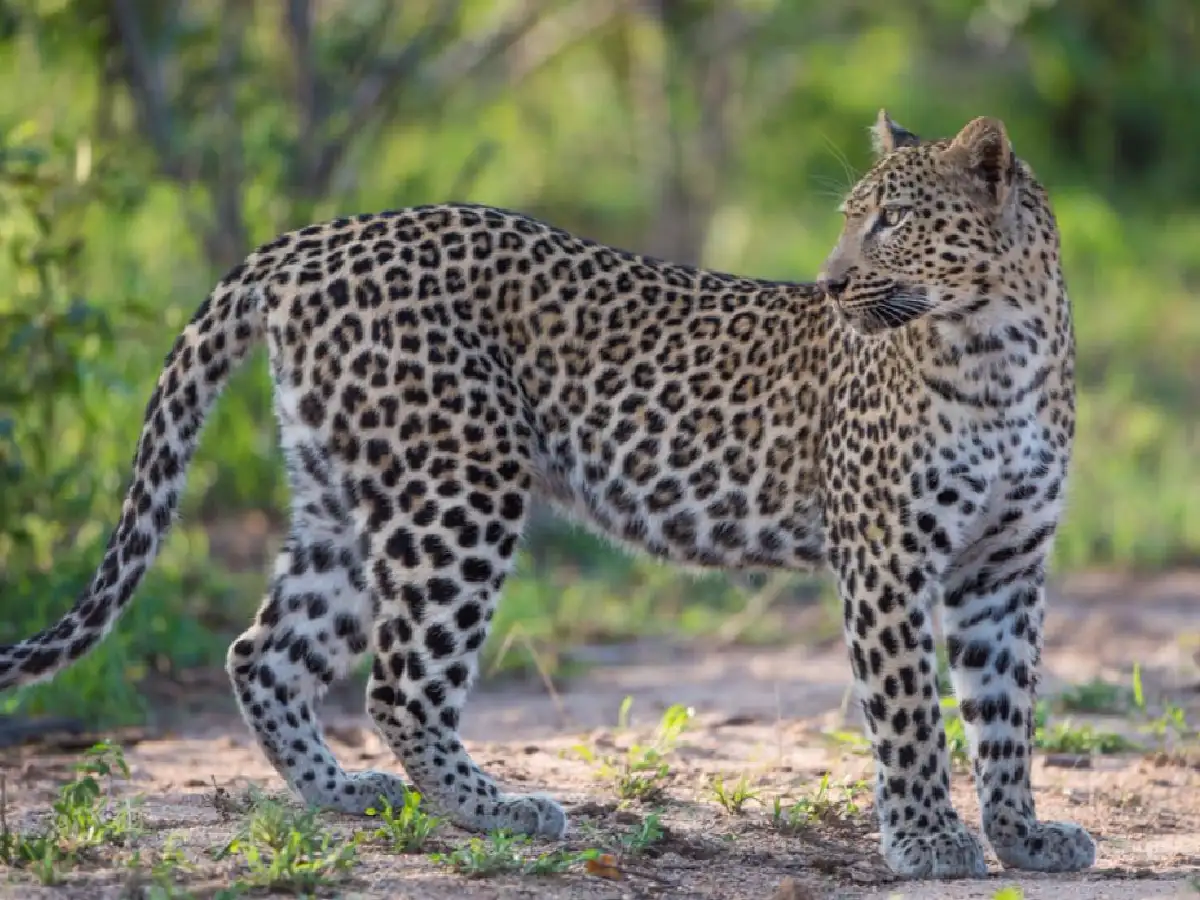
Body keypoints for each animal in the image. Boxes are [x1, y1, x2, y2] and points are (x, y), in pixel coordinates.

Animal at [0, 111, 1093, 879]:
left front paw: (1023, 837)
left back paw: (340, 795)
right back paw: (498, 810)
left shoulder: (1005, 565)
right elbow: (909, 708)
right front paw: (928, 844)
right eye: (851, 221)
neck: (1000, 348)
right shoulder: (885, 551)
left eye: (893, 221)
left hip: (346, 498)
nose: (829, 285)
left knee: (262, 652)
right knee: (399, 682)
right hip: (459, 489)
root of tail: (315, 238)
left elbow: (1006, 712)